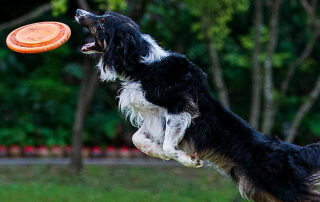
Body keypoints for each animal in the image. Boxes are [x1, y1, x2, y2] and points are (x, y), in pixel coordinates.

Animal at [75, 9, 320, 202]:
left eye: (103, 21)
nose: (78, 11)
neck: (141, 65)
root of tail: (291, 150)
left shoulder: (182, 108)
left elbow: (168, 144)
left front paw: (188, 160)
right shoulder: (154, 116)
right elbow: (138, 139)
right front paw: (157, 152)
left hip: (284, 189)